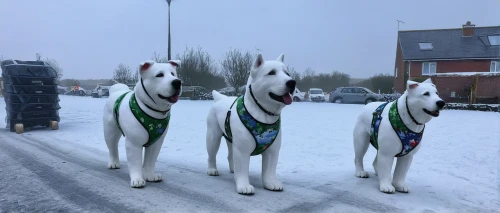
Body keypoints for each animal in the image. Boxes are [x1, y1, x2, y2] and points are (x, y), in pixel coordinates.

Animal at [102, 59, 182, 187]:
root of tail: (116, 90)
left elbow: (150, 160)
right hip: (110, 131)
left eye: (173, 74)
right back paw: (114, 163)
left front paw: (150, 176)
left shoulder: (156, 142)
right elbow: (135, 162)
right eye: (159, 75)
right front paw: (137, 179)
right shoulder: (134, 142)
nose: (177, 82)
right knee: (112, 146)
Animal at [205, 52, 294, 195]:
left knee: (230, 155)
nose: (292, 82)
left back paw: (232, 169)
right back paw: (212, 170)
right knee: (211, 154)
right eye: (271, 73)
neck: (264, 114)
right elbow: (242, 169)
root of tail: (220, 98)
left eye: (287, 73)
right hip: (213, 136)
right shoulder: (242, 150)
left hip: (231, 139)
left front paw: (271, 183)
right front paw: (244, 186)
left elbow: (269, 169)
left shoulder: (272, 150)